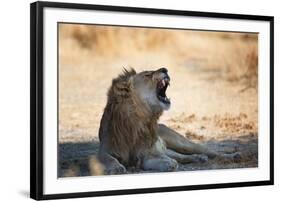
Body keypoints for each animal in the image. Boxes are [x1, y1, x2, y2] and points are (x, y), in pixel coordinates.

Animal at [97, 67, 237, 174]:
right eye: (147, 75)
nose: (165, 69)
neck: (138, 119)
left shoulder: (146, 153)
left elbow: (157, 159)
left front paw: (168, 163)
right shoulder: (105, 150)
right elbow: (107, 158)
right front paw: (116, 168)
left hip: (182, 143)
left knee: (209, 150)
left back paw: (232, 155)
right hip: (170, 149)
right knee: (181, 156)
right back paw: (199, 158)